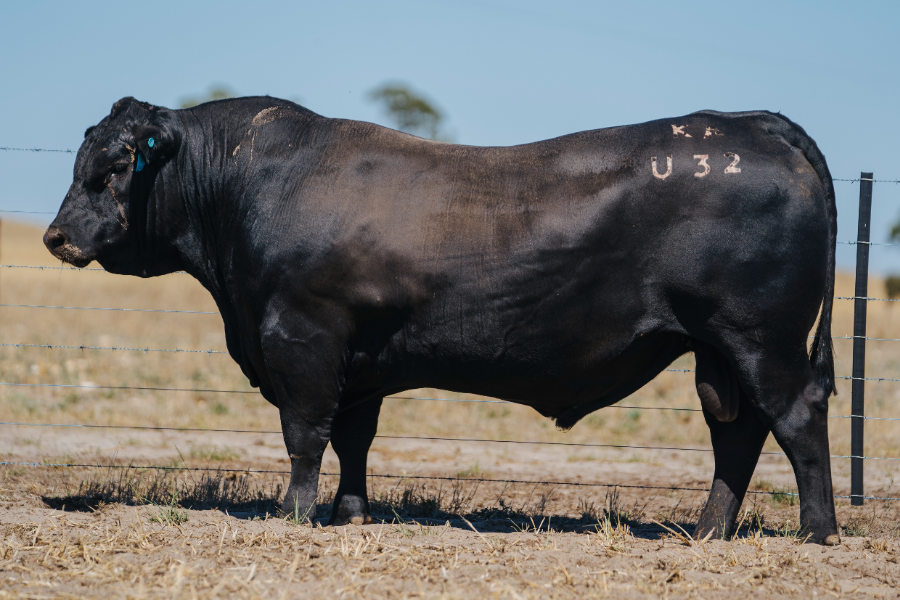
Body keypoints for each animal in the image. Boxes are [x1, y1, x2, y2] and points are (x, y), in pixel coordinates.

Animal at [45, 96, 839, 544]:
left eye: (113, 168)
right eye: (80, 161)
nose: (57, 236)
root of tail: (752, 124)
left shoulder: (301, 338)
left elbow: (305, 435)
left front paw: (294, 514)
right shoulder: (358, 362)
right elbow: (353, 439)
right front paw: (352, 513)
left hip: (760, 339)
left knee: (796, 416)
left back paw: (817, 531)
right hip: (717, 350)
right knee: (736, 432)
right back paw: (706, 531)